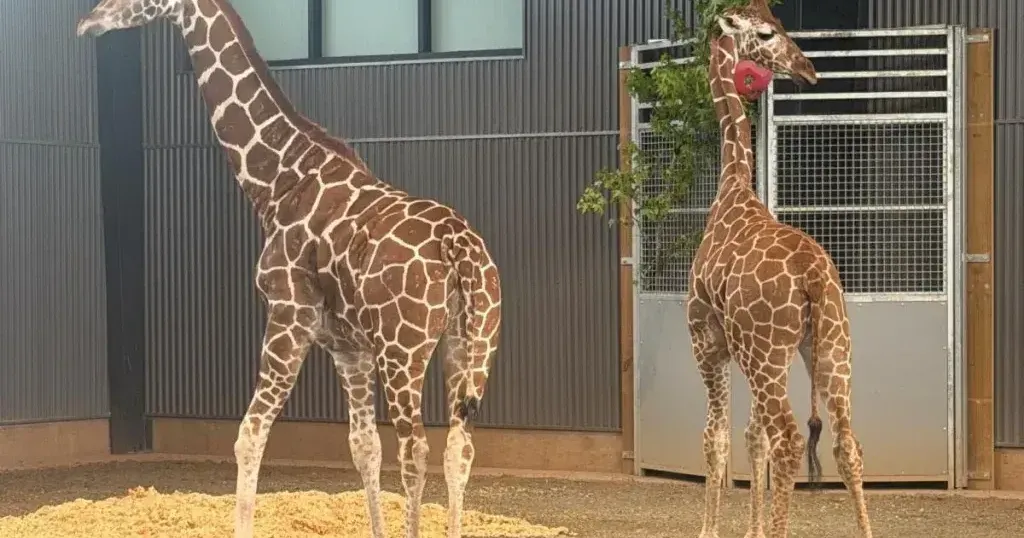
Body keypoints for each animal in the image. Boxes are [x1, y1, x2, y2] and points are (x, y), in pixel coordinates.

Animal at [76, 1, 502, 537]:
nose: (86, 23)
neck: (278, 180)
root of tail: (458, 245)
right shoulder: (347, 347)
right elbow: (363, 448)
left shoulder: (287, 317)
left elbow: (249, 435)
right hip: (470, 343)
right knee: (458, 449)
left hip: (404, 350)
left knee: (416, 450)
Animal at [685, 1, 873, 537]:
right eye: (768, 33)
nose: (809, 69)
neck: (731, 189)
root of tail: (813, 279)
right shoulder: (748, 351)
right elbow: (751, 437)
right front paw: (750, 529)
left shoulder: (707, 340)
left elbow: (718, 436)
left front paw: (711, 530)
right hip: (828, 347)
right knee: (845, 441)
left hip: (767, 353)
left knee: (788, 437)